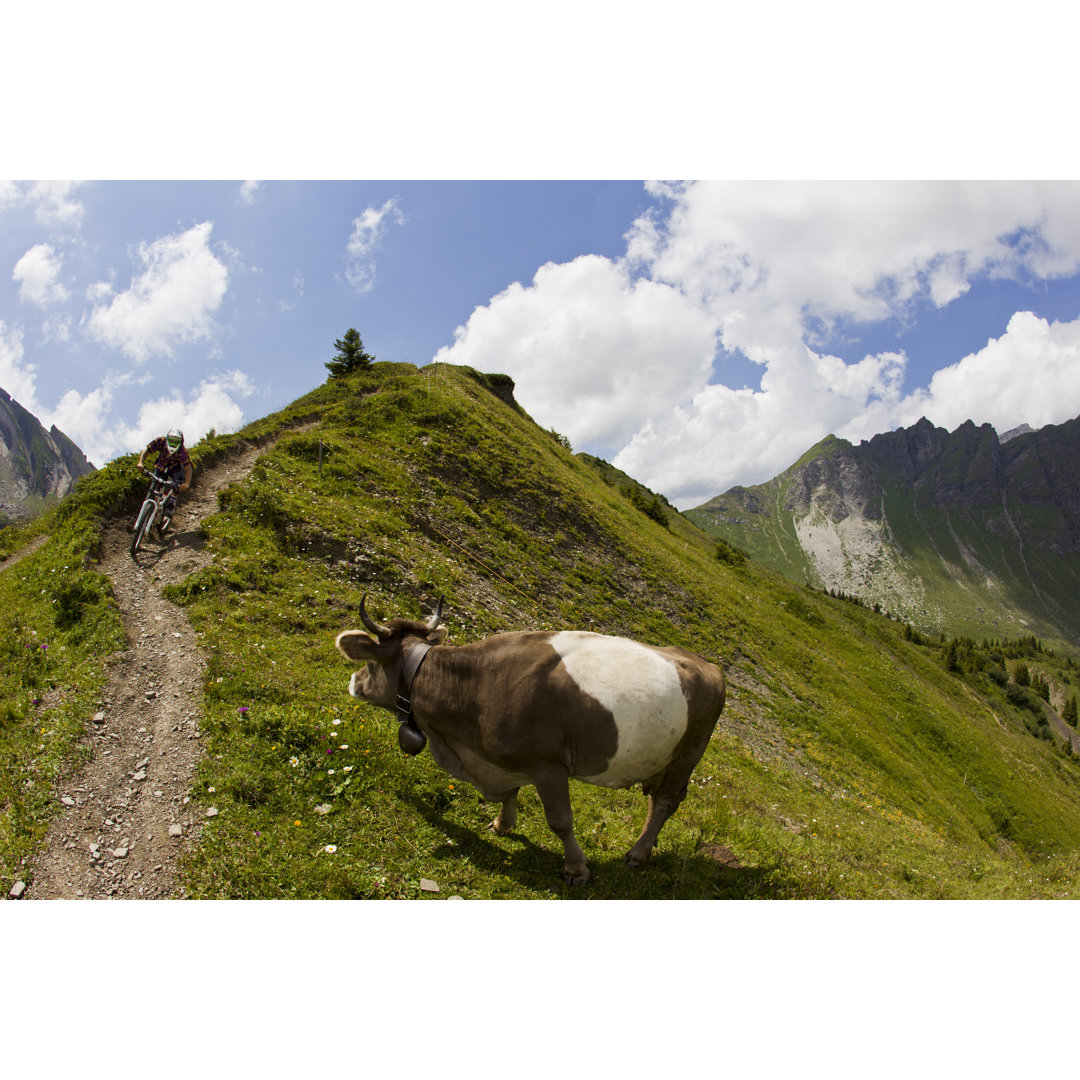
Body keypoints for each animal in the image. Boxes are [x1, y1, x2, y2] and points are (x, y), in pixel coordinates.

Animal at [334, 600, 725, 885]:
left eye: (371, 663)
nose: (354, 681)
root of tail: (706, 664)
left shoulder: (548, 766)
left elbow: (560, 821)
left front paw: (576, 868)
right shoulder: (503, 759)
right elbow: (510, 793)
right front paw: (502, 824)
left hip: (689, 752)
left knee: (667, 801)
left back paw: (638, 853)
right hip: (662, 756)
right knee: (656, 799)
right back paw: (646, 845)